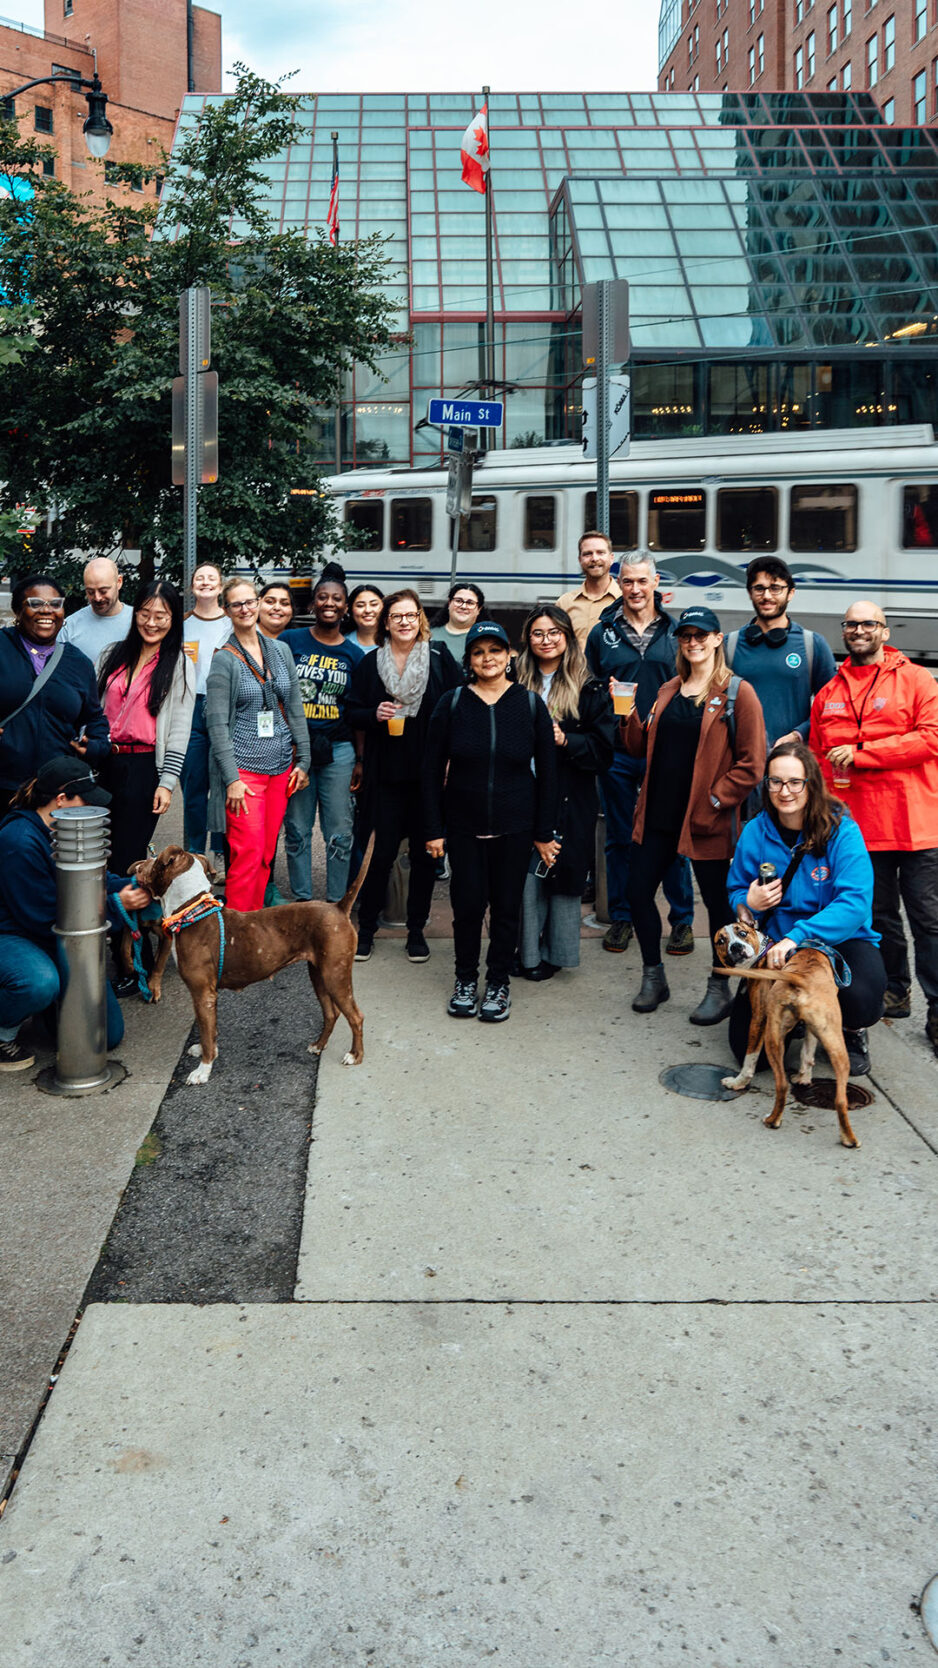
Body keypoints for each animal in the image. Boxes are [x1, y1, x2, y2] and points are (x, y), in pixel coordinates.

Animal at [132, 840, 372, 1087]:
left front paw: (203, 1069)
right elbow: (209, 1028)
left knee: (356, 1016)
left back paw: (355, 1055)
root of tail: (338, 908)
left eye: (153, 859)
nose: (136, 865)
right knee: (331, 1013)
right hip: (319, 974)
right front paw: (206, 1051)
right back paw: (318, 1045)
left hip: (335, 974)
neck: (191, 910)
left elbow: (206, 1032)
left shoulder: (202, 993)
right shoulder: (207, 996)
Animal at [707, 927, 854, 1147]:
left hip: (772, 1036)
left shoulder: (758, 1018)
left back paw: (772, 1120)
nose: (736, 947)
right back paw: (849, 1138)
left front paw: (738, 1082)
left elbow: (750, 1059)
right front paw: (804, 1077)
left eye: (742, 933)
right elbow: (807, 1053)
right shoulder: (813, 1028)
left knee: (781, 1084)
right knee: (840, 1098)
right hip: (835, 1045)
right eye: (721, 941)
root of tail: (800, 978)